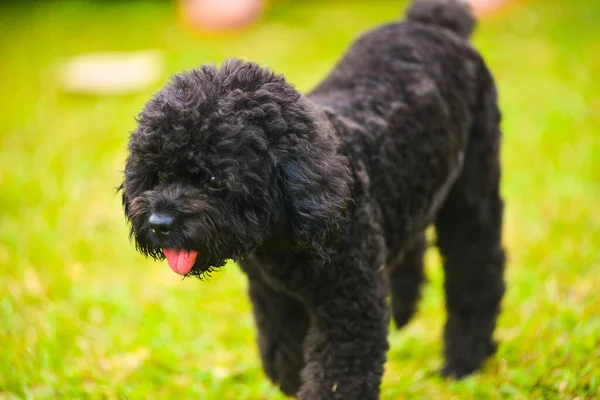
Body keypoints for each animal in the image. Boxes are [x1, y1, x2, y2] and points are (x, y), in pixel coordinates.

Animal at [120, 0, 506, 396]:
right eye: (159, 174)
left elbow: (336, 381)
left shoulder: (350, 308)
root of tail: (431, 23)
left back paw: (464, 362)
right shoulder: (275, 299)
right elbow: (285, 361)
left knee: (478, 275)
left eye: (214, 179)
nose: (159, 224)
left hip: (473, 195)